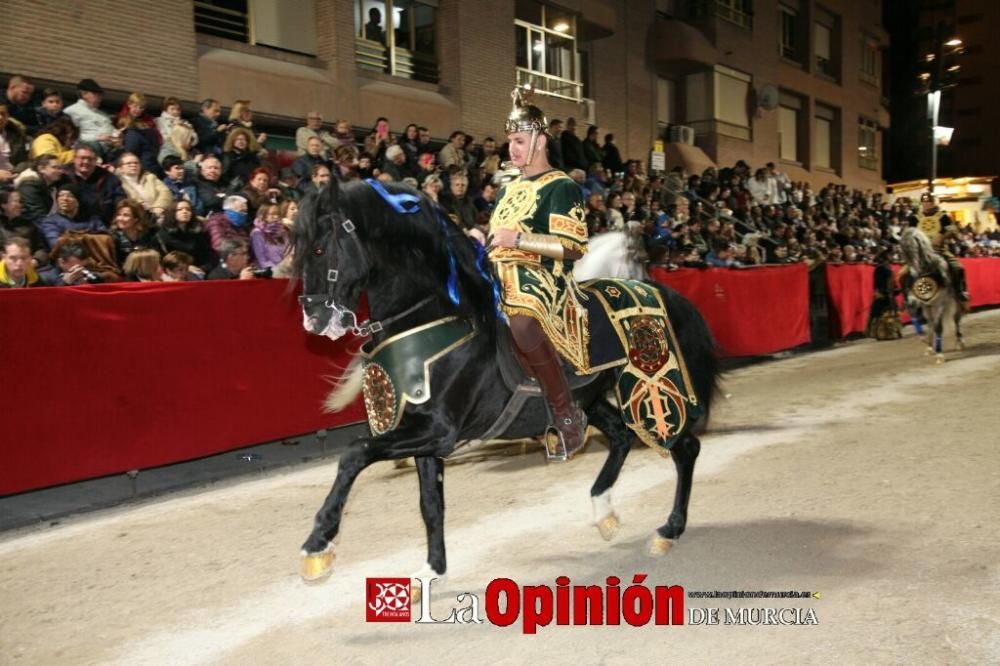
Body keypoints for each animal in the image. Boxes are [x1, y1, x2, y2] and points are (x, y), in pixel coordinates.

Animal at [290, 178, 720, 580]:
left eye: (318, 249)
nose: (314, 320)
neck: (436, 315)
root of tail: (658, 292)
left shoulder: (437, 431)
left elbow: (354, 452)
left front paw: (318, 543)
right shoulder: (427, 433)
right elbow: (430, 503)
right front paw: (431, 570)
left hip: (648, 391)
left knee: (684, 448)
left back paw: (668, 530)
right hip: (592, 399)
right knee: (621, 436)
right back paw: (603, 510)